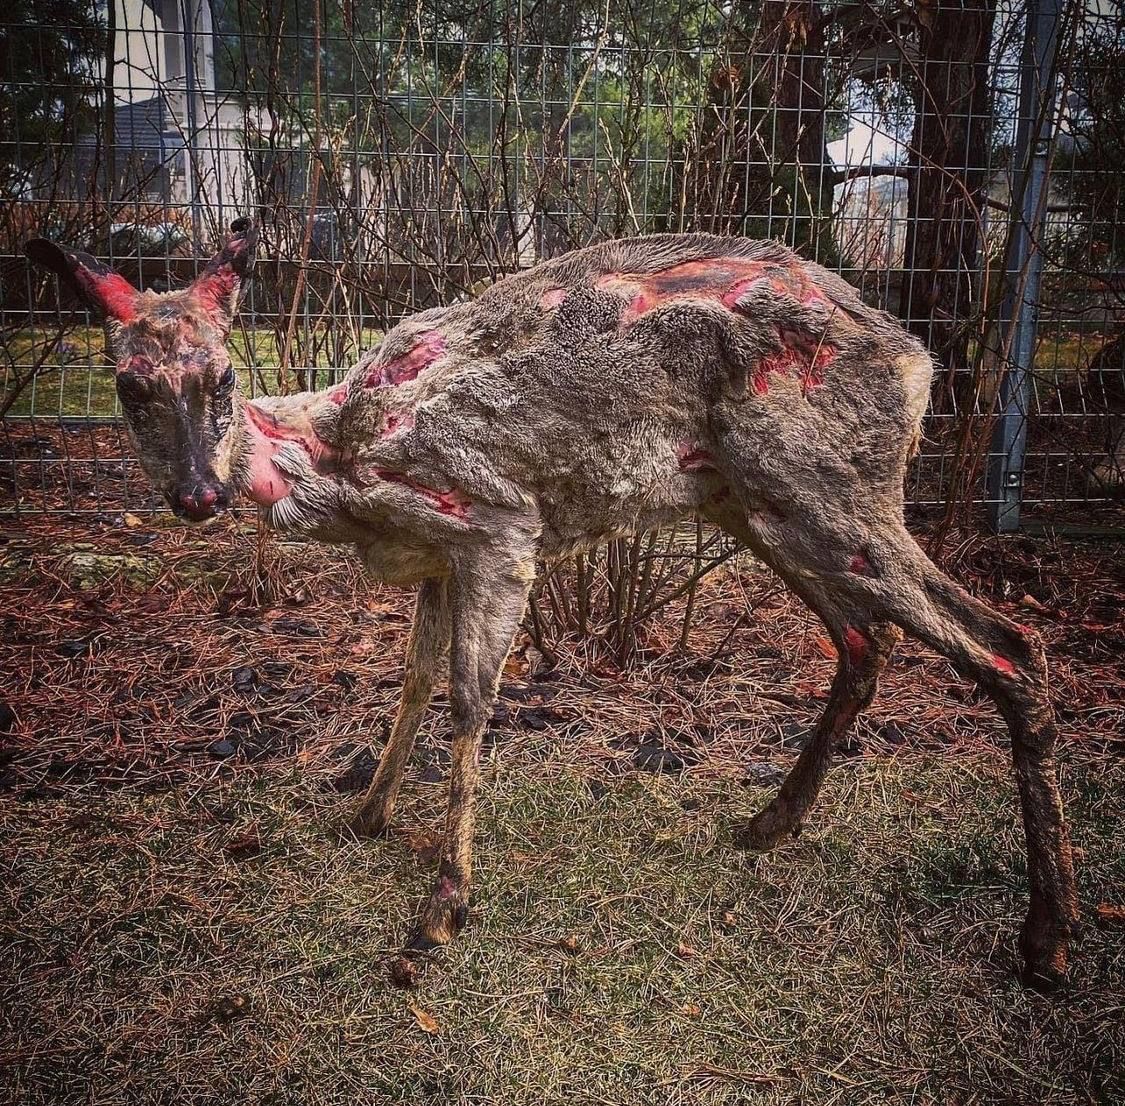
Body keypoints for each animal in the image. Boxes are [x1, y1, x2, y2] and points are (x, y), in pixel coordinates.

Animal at [24, 220, 1080, 990]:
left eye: (223, 375)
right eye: (127, 386)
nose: (197, 494)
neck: (336, 452)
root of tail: (916, 363)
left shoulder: (494, 519)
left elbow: (468, 698)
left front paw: (441, 910)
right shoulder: (437, 555)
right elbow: (411, 681)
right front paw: (366, 814)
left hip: (828, 482)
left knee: (1008, 645)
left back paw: (1046, 939)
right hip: (758, 503)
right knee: (864, 640)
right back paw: (769, 823)